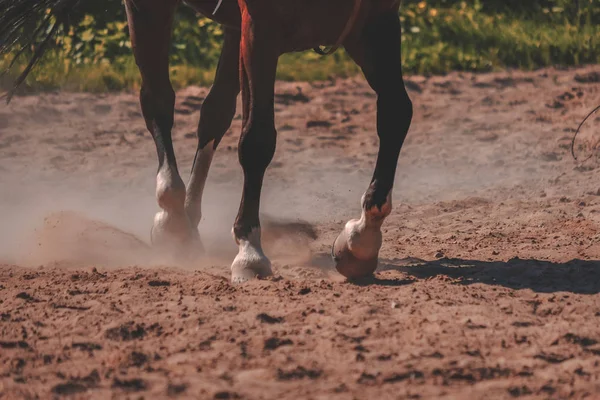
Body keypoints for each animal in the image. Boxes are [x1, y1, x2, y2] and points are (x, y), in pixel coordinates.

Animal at [1, 0, 412, 282]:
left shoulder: (375, 22)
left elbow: (397, 114)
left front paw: (362, 238)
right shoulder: (261, 28)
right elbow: (257, 138)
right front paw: (249, 252)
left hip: (234, 29)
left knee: (214, 112)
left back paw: (187, 215)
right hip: (153, 9)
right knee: (158, 101)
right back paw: (172, 215)